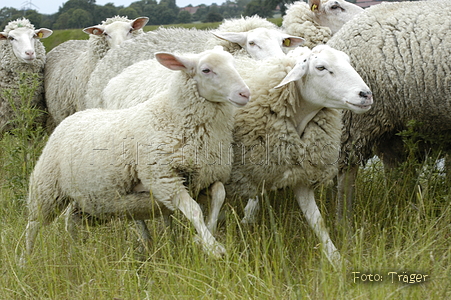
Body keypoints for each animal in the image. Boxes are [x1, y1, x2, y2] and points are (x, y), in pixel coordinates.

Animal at [25, 47, 251, 258]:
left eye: (233, 63)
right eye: (206, 70)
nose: (245, 93)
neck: (174, 116)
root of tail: (73, 117)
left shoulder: (207, 176)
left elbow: (219, 196)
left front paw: (205, 238)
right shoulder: (165, 179)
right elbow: (194, 210)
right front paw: (213, 247)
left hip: (83, 198)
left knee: (69, 222)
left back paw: (75, 253)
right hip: (46, 189)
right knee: (33, 226)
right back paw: (24, 260)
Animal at [326, 0, 451, 223]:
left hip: (395, 132)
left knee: (398, 175)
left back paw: (403, 215)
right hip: (356, 122)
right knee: (346, 174)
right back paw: (344, 223)